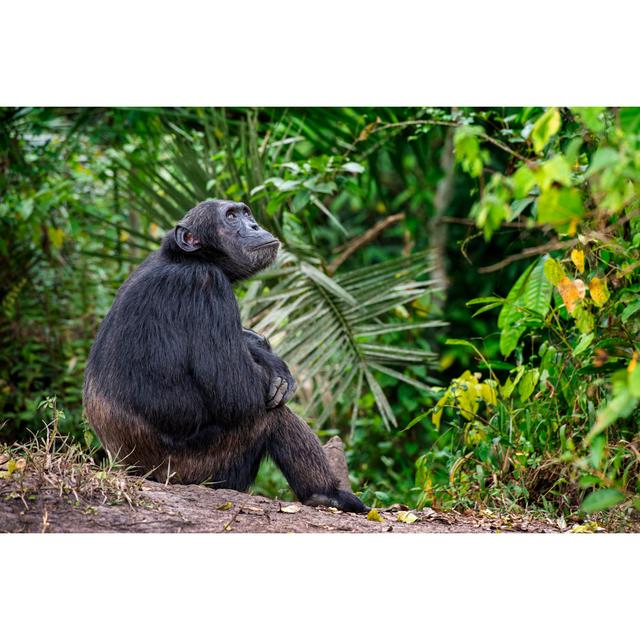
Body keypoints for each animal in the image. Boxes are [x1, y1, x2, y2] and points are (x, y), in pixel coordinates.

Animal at [82, 200, 368, 516]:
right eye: (231, 217)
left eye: (246, 213)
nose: (254, 225)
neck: (187, 258)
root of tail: (132, 471)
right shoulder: (206, 285)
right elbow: (236, 391)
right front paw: (271, 364)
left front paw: (259, 346)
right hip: (201, 470)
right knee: (269, 415)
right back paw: (327, 495)